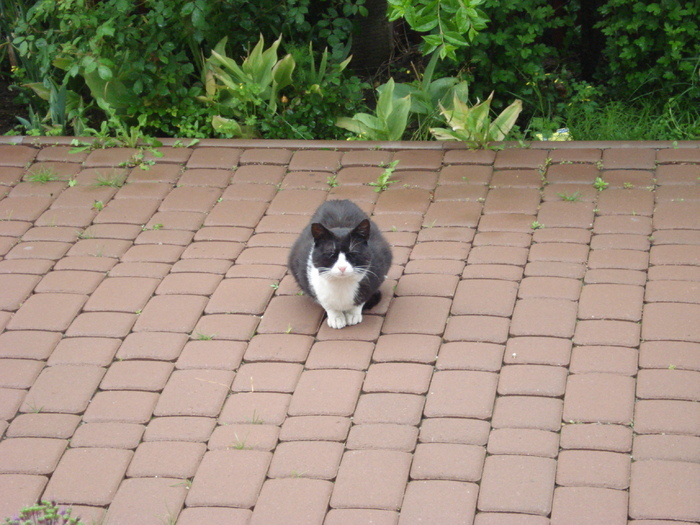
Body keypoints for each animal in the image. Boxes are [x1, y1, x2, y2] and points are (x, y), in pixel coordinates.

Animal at [286, 200, 394, 328]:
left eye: (352, 253)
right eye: (331, 254)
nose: (342, 267)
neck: (341, 284)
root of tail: (338, 200)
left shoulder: (377, 271)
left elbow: (361, 299)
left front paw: (353, 314)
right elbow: (326, 303)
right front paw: (336, 317)